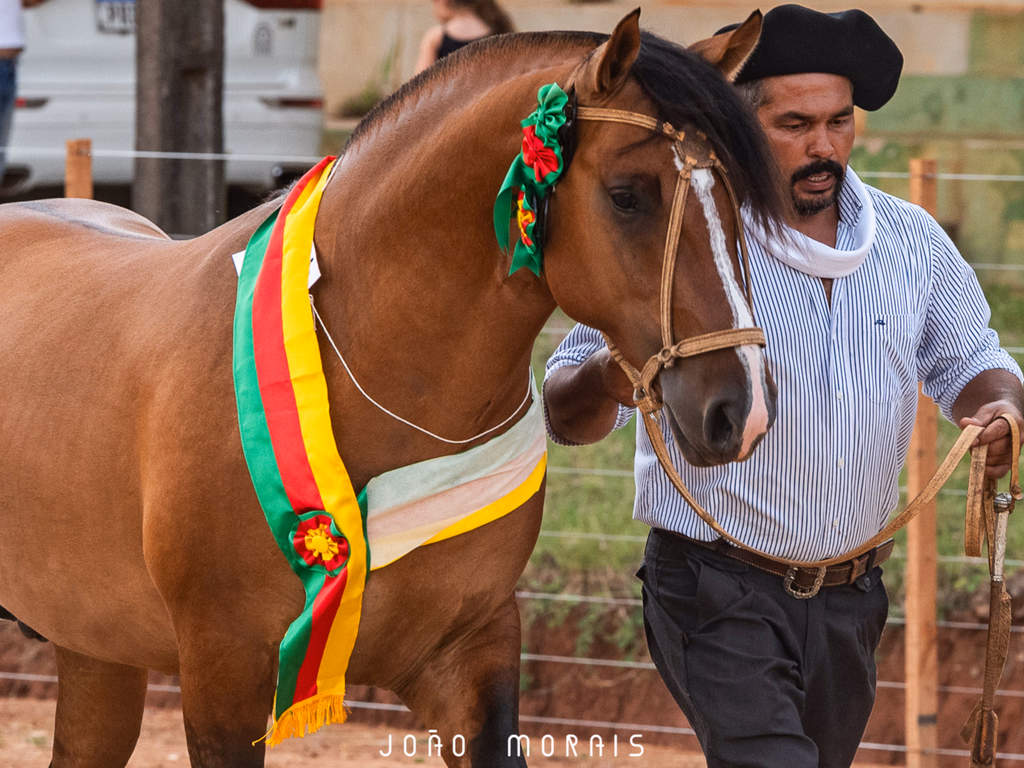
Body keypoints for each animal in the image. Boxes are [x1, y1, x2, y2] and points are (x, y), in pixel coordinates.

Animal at [0, 11, 783, 767]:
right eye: (626, 197)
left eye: (738, 200)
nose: (739, 410)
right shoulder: (223, 676)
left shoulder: (467, 655)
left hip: (96, 652)